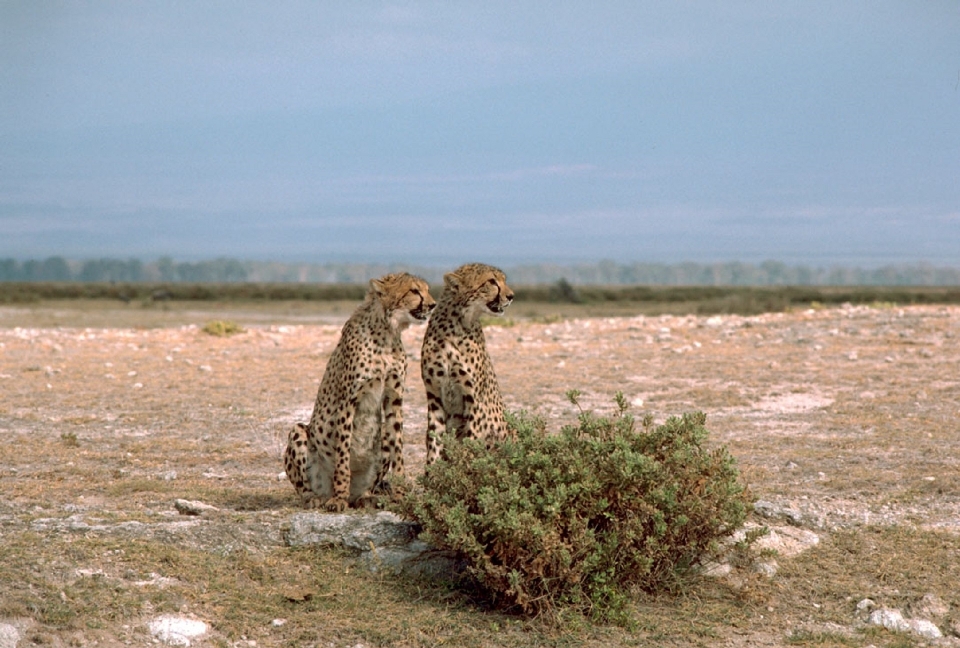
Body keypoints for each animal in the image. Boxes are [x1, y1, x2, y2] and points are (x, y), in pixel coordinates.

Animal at [284, 274, 436, 512]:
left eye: (427, 290)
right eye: (414, 291)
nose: (432, 305)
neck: (387, 330)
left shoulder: (394, 399)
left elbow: (398, 449)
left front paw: (401, 494)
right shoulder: (348, 400)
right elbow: (343, 454)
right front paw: (339, 498)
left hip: (379, 438)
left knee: (367, 486)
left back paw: (366, 497)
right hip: (298, 432)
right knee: (305, 486)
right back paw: (317, 497)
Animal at [418, 260, 510, 464]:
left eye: (503, 280)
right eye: (492, 281)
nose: (511, 296)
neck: (456, 324)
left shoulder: (473, 399)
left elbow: (470, 441)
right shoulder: (434, 395)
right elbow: (434, 439)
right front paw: (433, 471)